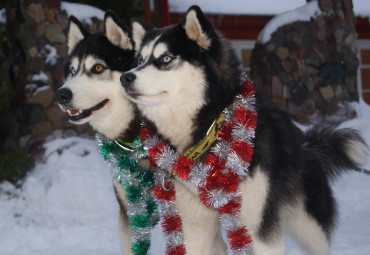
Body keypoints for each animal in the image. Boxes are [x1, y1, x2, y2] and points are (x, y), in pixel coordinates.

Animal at [120, 5, 368, 255]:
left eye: (166, 58)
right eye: (140, 60)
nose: (125, 77)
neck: (213, 130)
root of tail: (305, 142)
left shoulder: (260, 229)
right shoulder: (194, 224)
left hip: (309, 227)